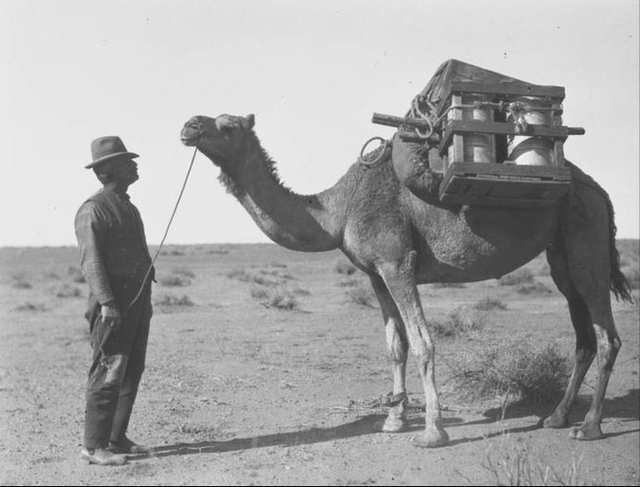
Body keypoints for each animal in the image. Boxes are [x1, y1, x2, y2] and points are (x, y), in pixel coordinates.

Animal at [180, 112, 632, 448]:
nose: (189, 125)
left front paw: (432, 431)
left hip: (585, 234)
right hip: (561, 252)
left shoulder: (397, 262)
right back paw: (556, 417)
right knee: (583, 334)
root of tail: (599, 190)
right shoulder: (376, 273)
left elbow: (423, 342)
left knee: (606, 335)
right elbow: (395, 345)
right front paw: (394, 420)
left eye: (228, 126)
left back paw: (589, 427)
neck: (337, 210)